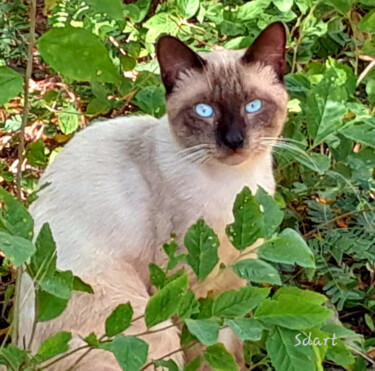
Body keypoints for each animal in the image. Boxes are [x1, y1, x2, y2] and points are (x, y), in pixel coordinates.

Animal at [19, 21, 290, 371]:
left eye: (253, 106)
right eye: (205, 111)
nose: (234, 140)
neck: (236, 188)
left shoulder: (235, 282)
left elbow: (232, 350)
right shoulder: (187, 289)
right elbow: (205, 352)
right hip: (142, 320)